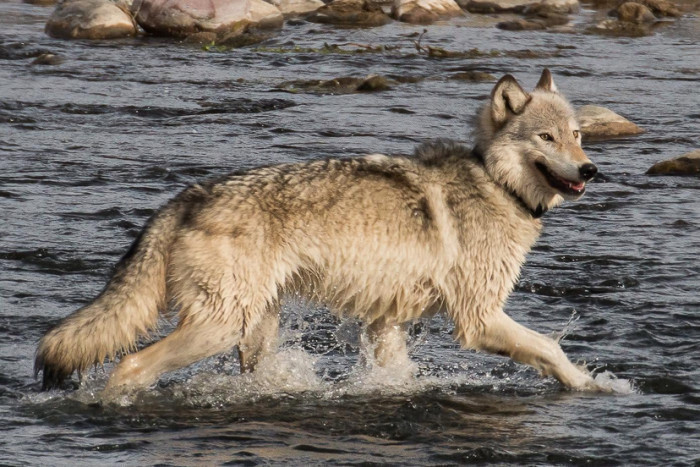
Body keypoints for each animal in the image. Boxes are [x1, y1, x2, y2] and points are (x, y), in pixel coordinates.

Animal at [36, 69, 601, 392]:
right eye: (546, 138)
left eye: (577, 135)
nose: (590, 170)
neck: (494, 183)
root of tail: (189, 196)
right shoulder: (479, 319)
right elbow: (552, 349)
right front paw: (597, 387)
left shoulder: (387, 323)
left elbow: (396, 376)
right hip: (219, 327)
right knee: (128, 367)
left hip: (253, 331)